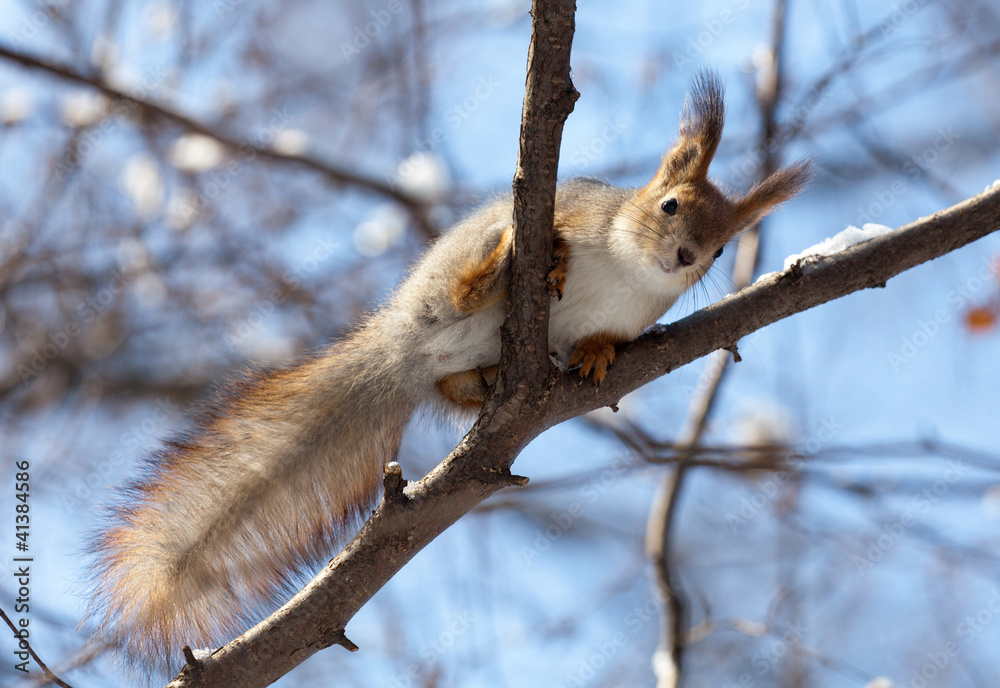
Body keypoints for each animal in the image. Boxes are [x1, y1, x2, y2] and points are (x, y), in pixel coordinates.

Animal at [88, 70, 810, 673]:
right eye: (669, 205)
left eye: (720, 249)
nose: (686, 255)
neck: (630, 271)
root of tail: (400, 354)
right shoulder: (579, 216)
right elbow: (563, 230)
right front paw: (554, 257)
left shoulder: (634, 317)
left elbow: (606, 336)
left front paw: (597, 352)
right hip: (446, 280)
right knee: (463, 294)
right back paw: (499, 270)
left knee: (453, 385)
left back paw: (488, 382)